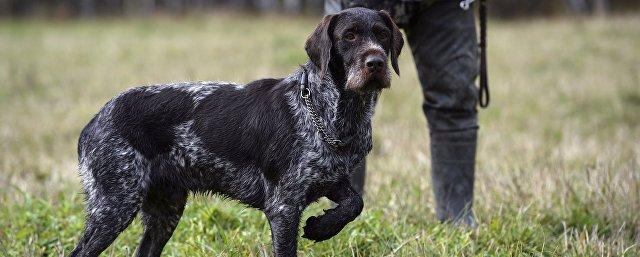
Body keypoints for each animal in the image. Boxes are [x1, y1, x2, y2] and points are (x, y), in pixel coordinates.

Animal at [71, 8, 404, 256]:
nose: (376, 62)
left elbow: (355, 203)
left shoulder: (329, 178)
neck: (332, 112)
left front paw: (322, 228)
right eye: (349, 36)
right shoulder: (283, 207)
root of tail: (94, 122)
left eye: (382, 34)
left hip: (165, 209)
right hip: (115, 204)